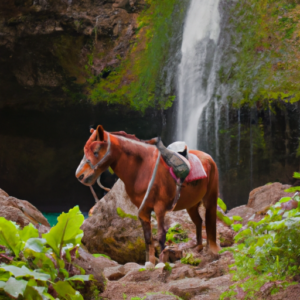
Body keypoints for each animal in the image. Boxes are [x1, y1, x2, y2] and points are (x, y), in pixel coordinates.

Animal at [75, 125, 220, 264]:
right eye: (85, 151)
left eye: (95, 152)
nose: (80, 176)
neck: (142, 170)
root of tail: (209, 158)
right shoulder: (143, 210)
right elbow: (147, 238)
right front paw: (150, 263)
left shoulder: (160, 208)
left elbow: (161, 235)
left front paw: (162, 262)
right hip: (192, 204)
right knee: (199, 221)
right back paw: (198, 247)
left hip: (210, 200)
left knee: (209, 221)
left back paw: (211, 250)